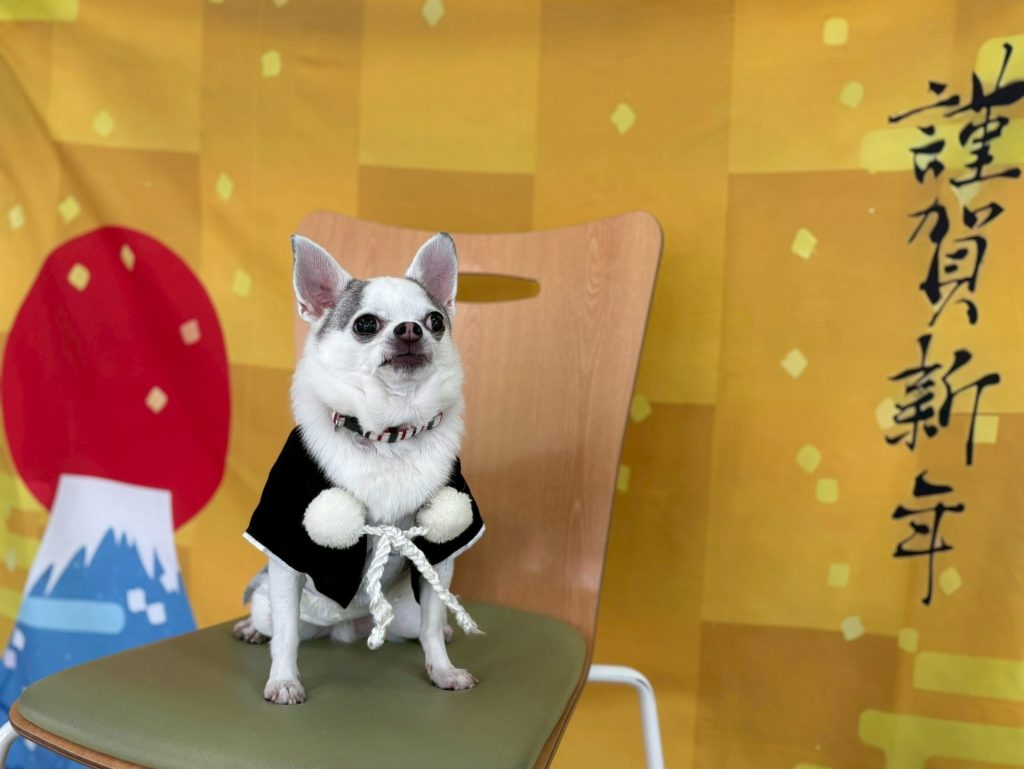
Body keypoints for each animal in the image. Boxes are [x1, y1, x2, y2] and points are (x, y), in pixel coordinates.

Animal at [233, 231, 484, 704]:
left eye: (435, 321)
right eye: (366, 324)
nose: (410, 328)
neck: (388, 435)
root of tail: (350, 625)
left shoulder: (439, 555)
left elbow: (431, 627)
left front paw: (442, 670)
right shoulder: (286, 553)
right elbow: (287, 638)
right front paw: (284, 681)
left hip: (404, 613)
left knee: (423, 625)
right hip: (274, 604)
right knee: (273, 622)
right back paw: (251, 631)